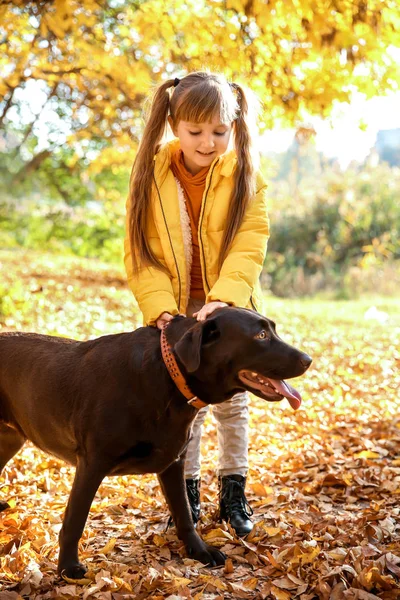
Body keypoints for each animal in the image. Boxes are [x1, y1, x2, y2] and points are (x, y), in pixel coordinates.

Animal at [0, 308, 312, 580]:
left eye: (272, 329)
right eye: (261, 335)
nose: (308, 359)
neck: (168, 375)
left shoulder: (174, 461)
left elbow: (184, 512)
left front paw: (199, 551)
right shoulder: (92, 464)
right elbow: (75, 520)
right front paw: (67, 568)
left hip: (10, 440)